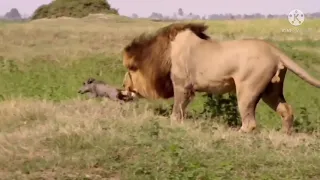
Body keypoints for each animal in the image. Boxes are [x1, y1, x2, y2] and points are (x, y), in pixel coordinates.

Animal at [122, 22, 320, 134]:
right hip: (271, 91)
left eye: (130, 71)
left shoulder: (181, 85)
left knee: (250, 123)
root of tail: (273, 49)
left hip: (247, 89)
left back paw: (237, 134)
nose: (122, 87)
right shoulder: (188, 88)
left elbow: (177, 108)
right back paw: (284, 135)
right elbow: (182, 108)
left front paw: (173, 124)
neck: (163, 54)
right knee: (287, 111)